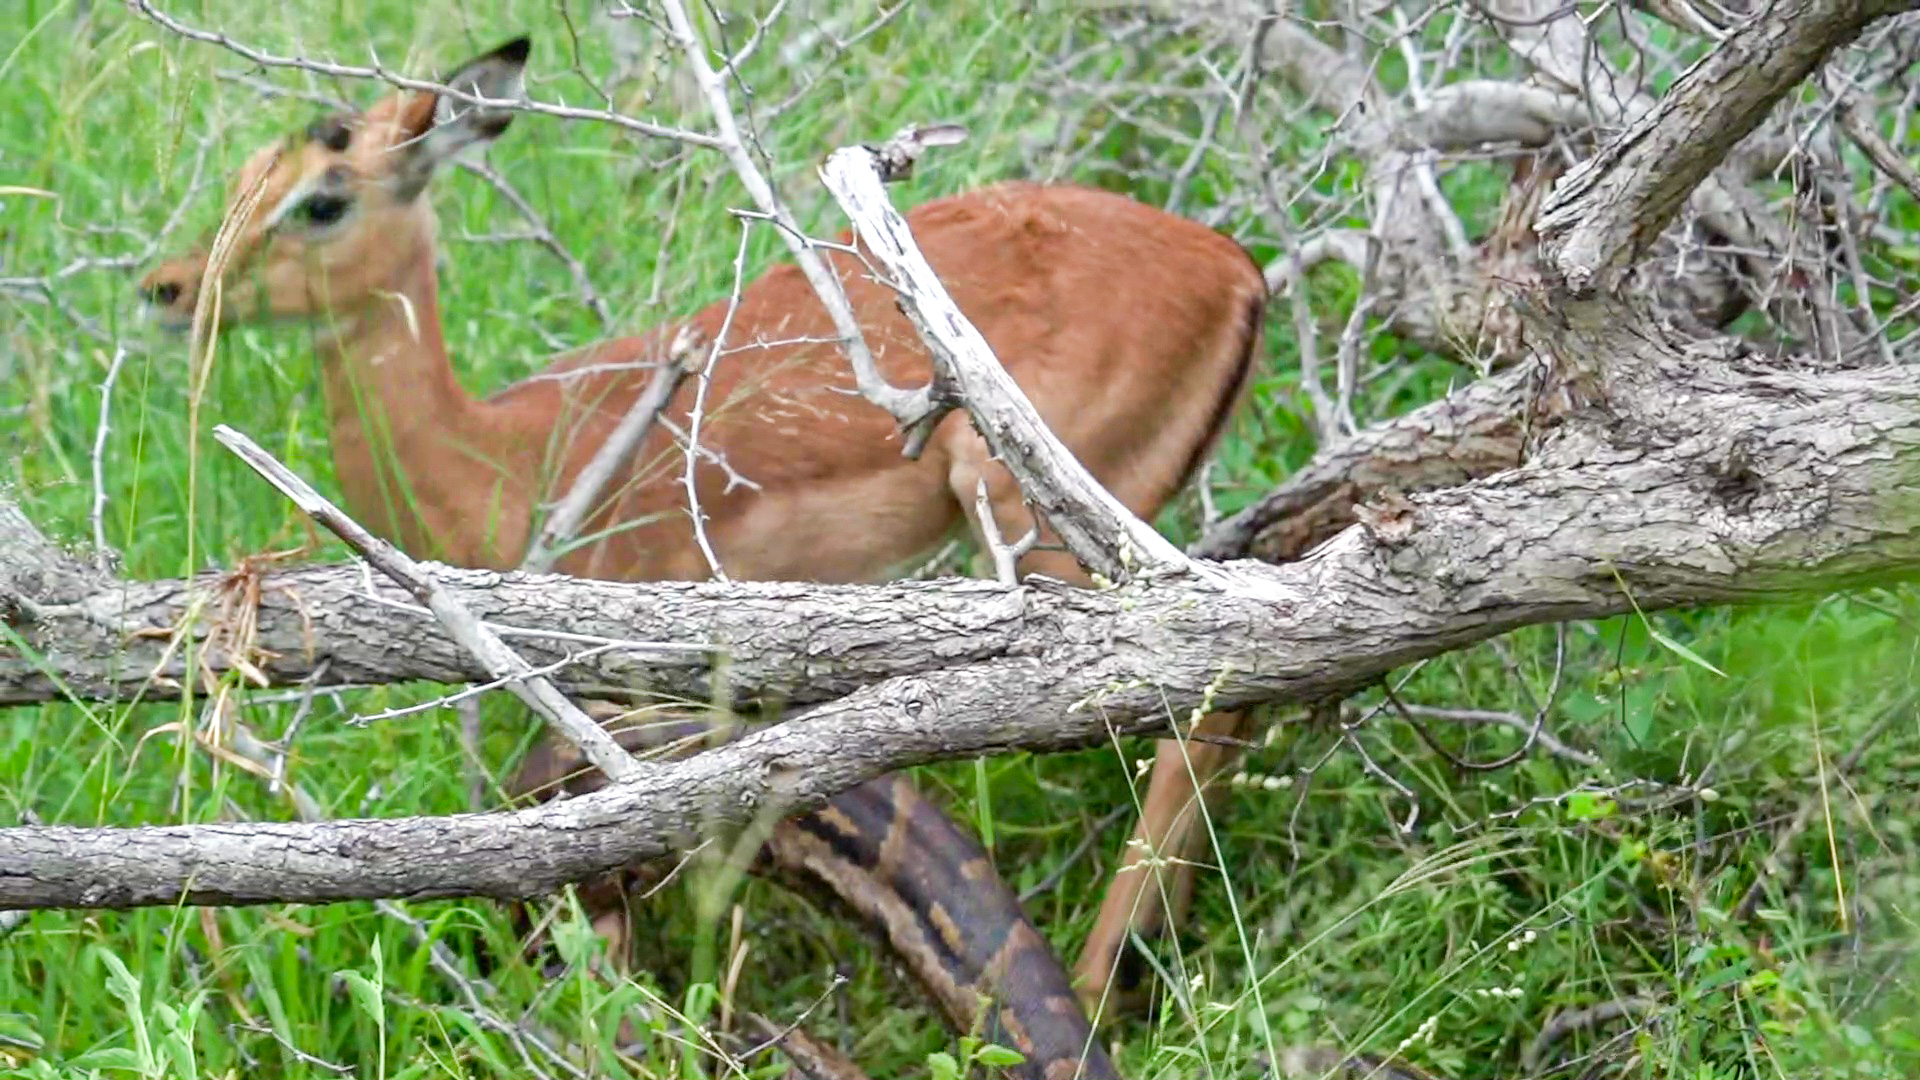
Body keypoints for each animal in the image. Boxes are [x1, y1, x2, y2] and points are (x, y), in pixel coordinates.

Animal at [139, 35, 1266, 1077]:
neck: (498, 456)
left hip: (1048, 536)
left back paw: (1096, 982)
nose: (169, 286)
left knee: (1199, 717)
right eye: (250, 174)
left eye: (322, 200)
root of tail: (1235, 266)